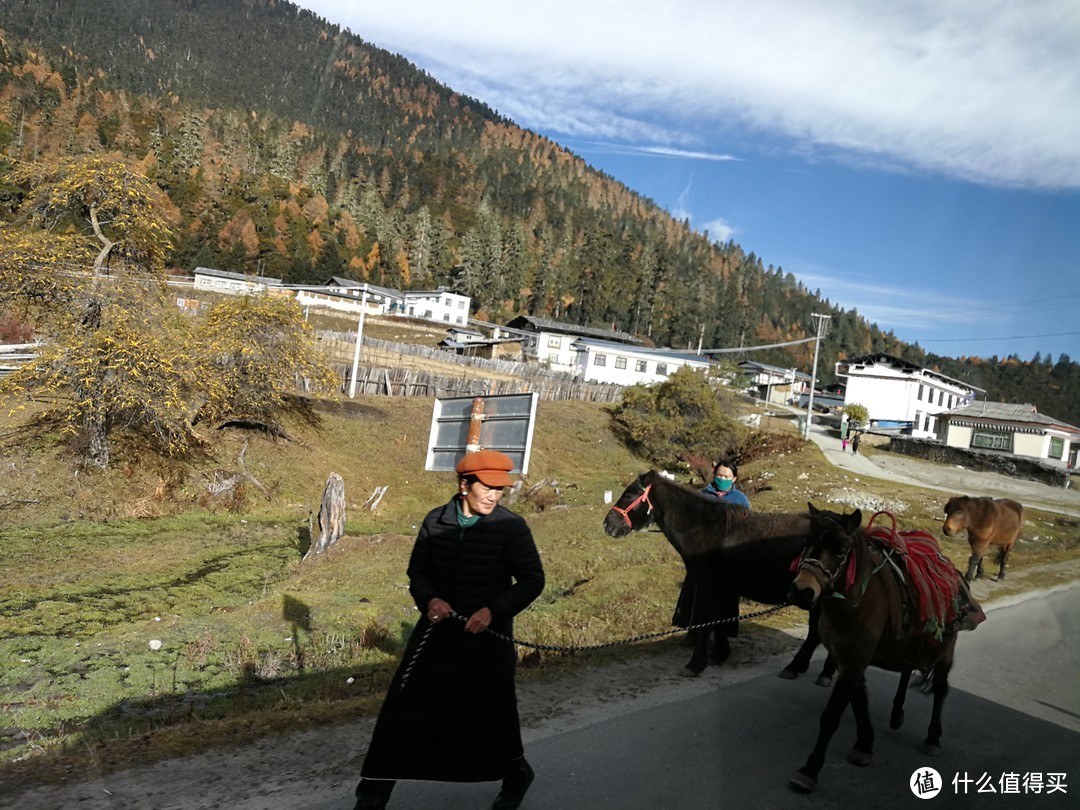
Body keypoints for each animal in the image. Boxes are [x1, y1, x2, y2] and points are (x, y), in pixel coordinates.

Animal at [600, 473, 825, 682]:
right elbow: (718, 619)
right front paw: (719, 654)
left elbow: (707, 619)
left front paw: (696, 663)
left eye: (628, 495)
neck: (708, 530)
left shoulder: (708, 584)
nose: (607, 524)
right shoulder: (720, 587)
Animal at [786, 507, 989, 794]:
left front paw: (810, 770)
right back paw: (897, 714)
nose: (801, 592)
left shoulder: (854, 661)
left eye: (841, 550)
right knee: (906, 670)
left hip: (945, 654)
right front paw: (864, 745)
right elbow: (859, 701)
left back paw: (933, 738)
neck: (855, 603)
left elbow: (833, 714)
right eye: (807, 542)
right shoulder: (848, 659)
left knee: (940, 690)